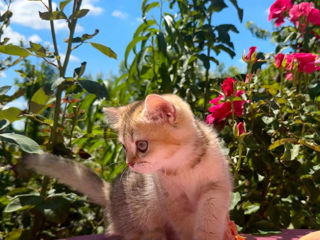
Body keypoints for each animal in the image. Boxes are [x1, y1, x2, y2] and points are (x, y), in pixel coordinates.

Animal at [22, 94, 232, 240]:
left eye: (142, 145)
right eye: (123, 147)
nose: (129, 163)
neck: (183, 166)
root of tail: (110, 193)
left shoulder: (215, 189)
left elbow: (209, 221)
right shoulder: (173, 201)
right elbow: (185, 226)